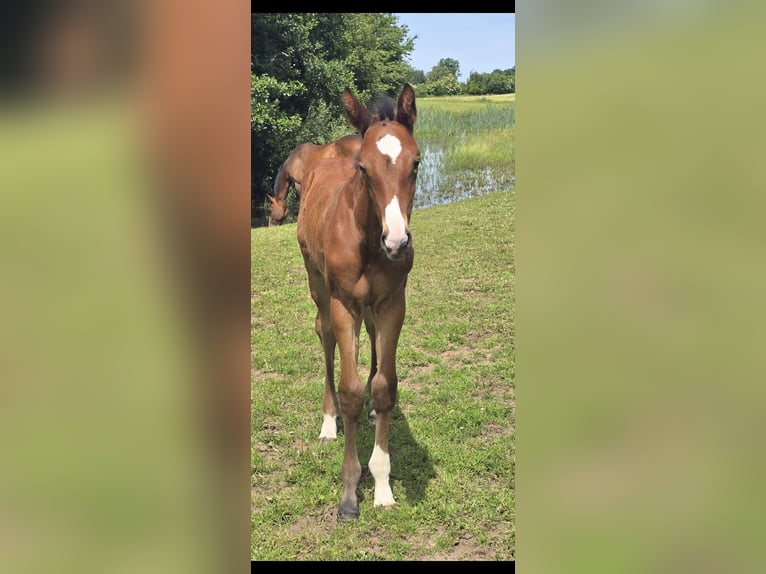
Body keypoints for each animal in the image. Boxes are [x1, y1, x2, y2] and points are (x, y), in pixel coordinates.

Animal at [296, 84, 420, 521]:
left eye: (417, 163)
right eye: (363, 169)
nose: (397, 243)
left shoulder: (392, 303)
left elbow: (385, 387)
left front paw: (382, 485)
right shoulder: (343, 302)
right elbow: (349, 390)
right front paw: (350, 493)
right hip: (318, 285)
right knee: (326, 338)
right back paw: (328, 422)